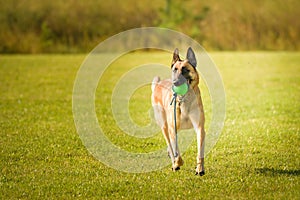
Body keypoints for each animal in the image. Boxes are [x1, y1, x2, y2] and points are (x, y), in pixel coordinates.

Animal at [151, 47, 205, 176]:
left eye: (185, 69)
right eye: (175, 69)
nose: (175, 82)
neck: (184, 100)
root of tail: (158, 84)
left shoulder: (200, 128)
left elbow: (200, 152)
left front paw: (200, 169)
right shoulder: (173, 128)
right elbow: (177, 152)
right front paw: (177, 163)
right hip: (165, 126)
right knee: (170, 145)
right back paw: (174, 162)